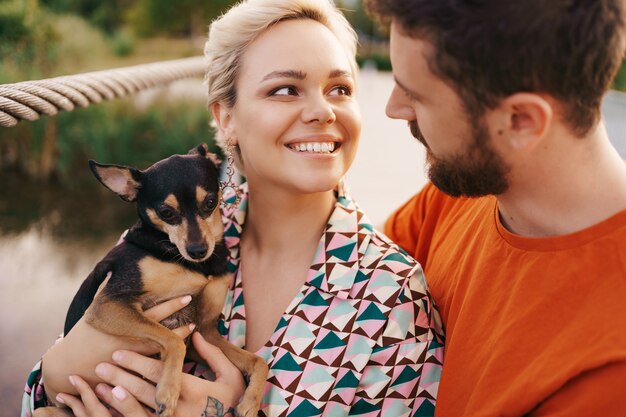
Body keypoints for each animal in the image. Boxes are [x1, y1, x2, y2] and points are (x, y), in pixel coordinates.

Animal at [34, 143, 266, 416]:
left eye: (210, 202)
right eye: (166, 212)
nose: (198, 250)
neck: (190, 264)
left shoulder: (205, 332)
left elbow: (258, 361)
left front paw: (250, 402)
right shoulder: (108, 304)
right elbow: (174, 340)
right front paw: (168, 390)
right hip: (45, 410)